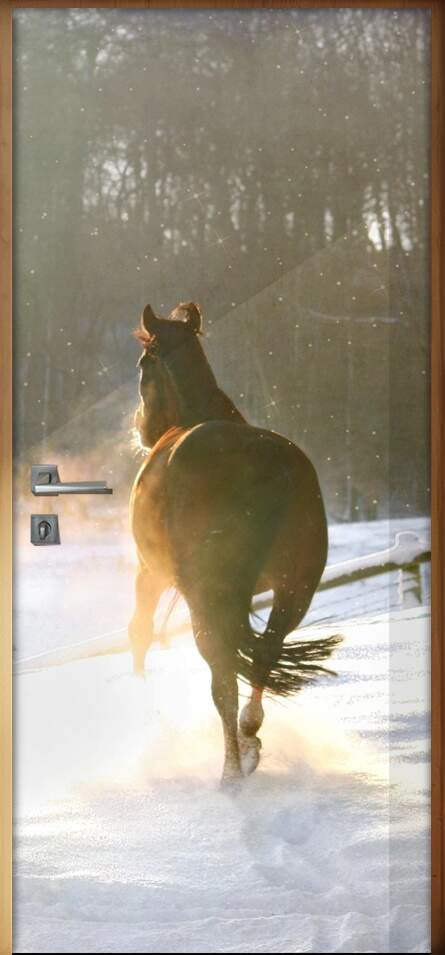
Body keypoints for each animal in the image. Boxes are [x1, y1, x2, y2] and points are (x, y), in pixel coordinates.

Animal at [129, 301, 341, 788]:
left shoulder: (150, 573)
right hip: (294, 589)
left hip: (206, 595)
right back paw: (249, 737)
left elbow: (139, 633)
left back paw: (231, 773)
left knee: (223, 676)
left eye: (143, 365)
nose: (141, 430)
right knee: (265, 652)